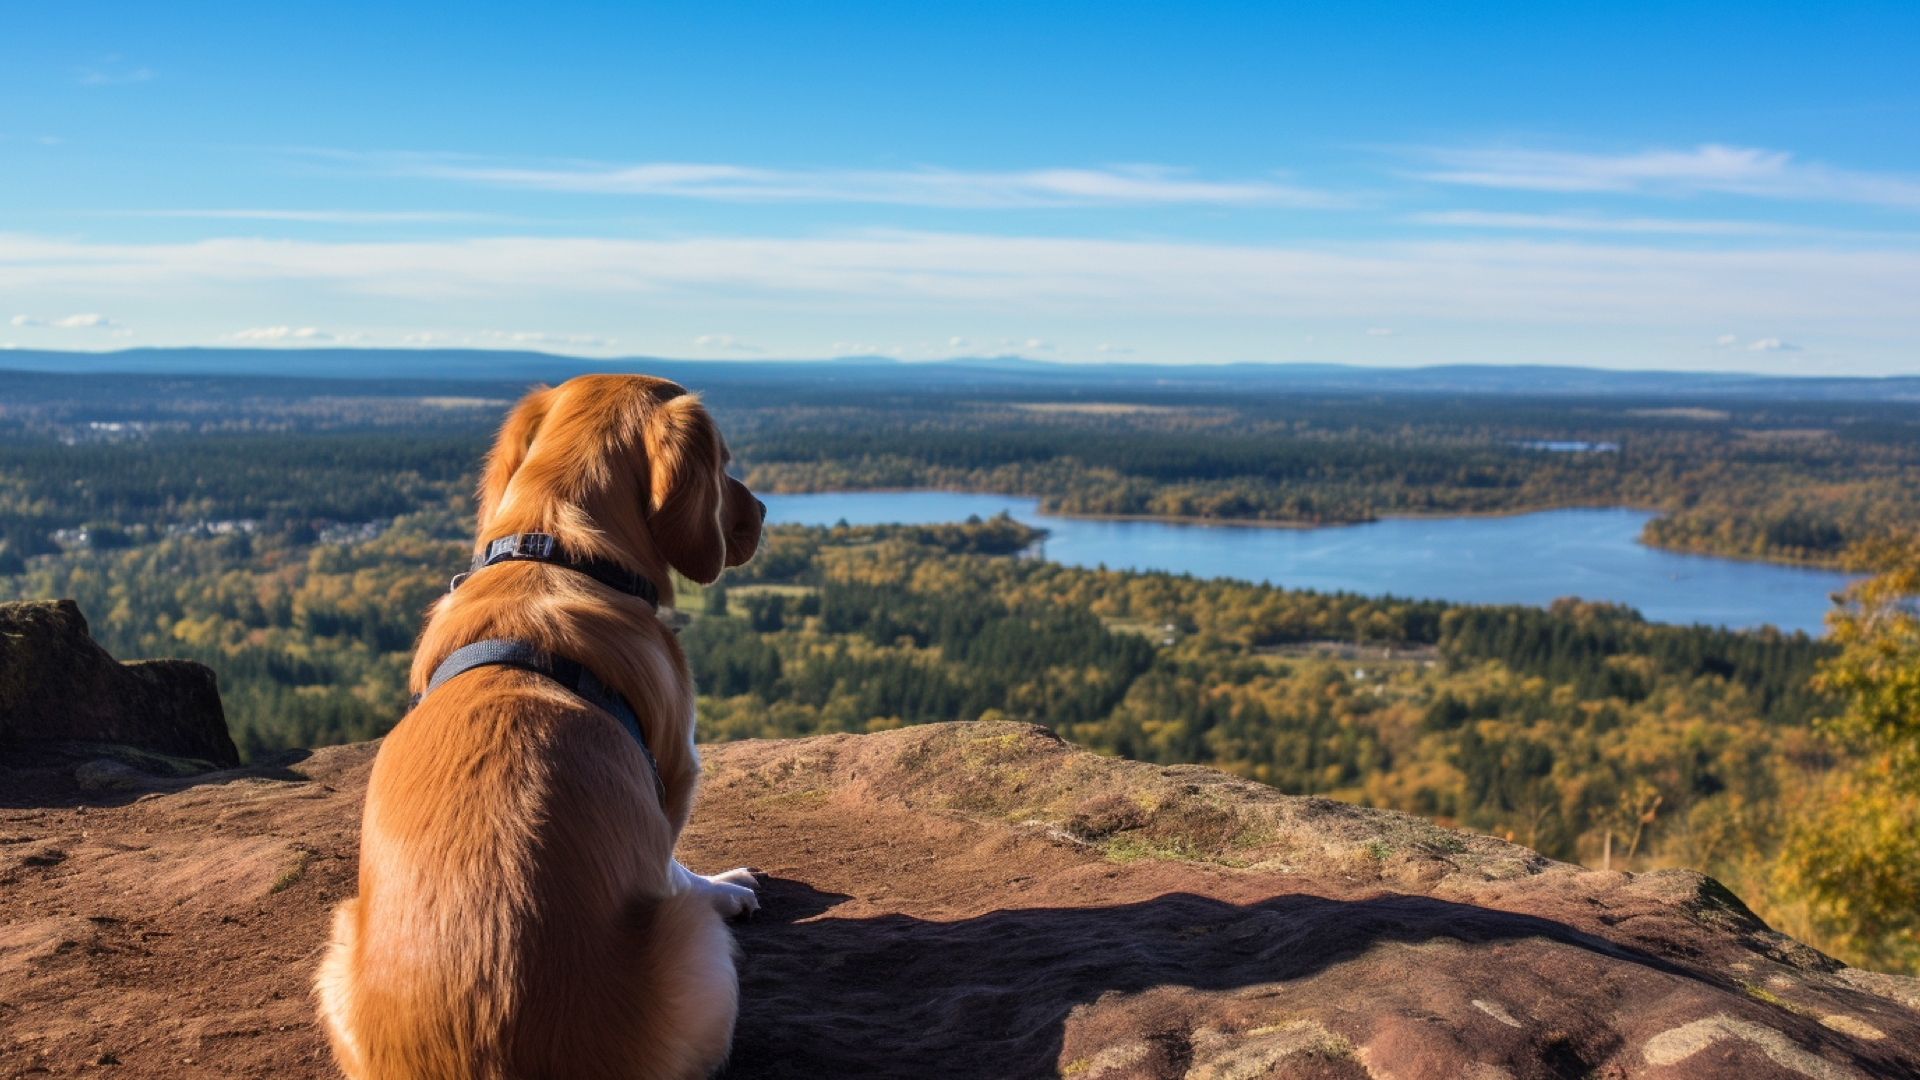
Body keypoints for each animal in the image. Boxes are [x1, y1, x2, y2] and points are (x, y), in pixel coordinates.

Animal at [314, 372, 764, 1076]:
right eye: (724, 464)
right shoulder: (675, 773)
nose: (766, 512)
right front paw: (721, 885)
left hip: (337, 946)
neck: (556, 551)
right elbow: (670, 863)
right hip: (699, 949)